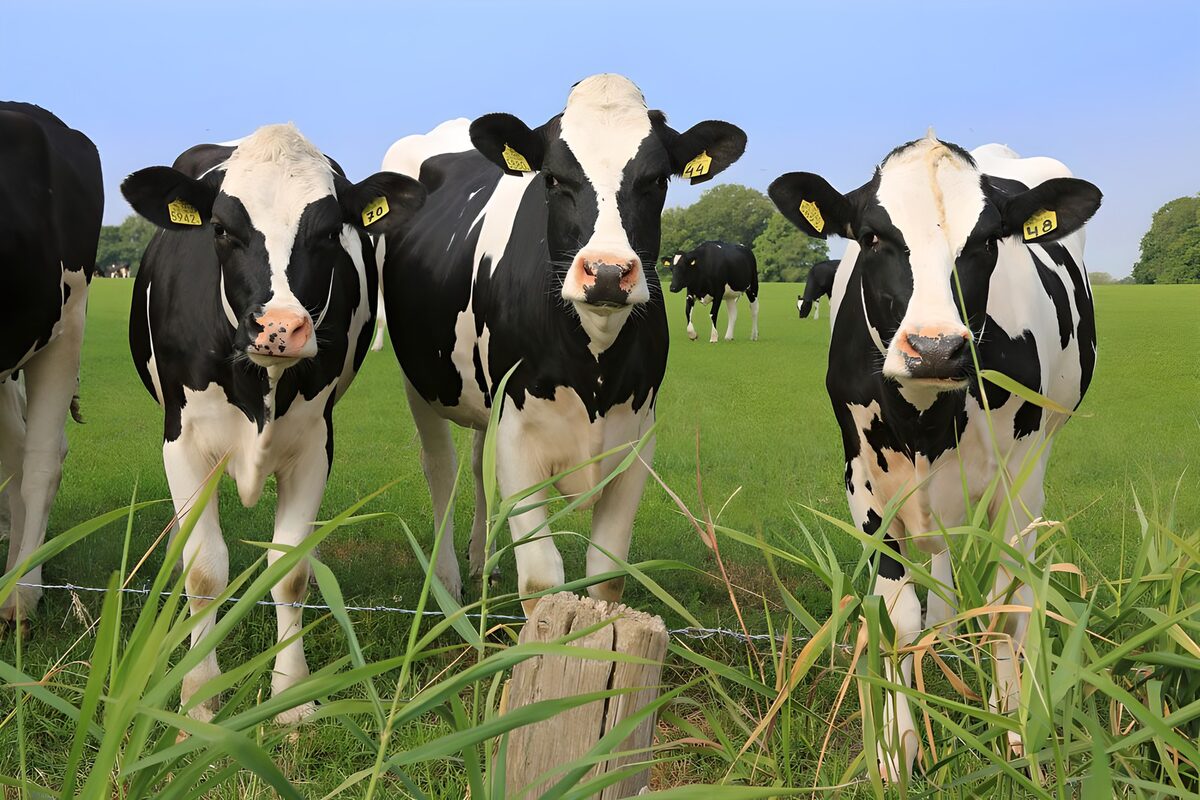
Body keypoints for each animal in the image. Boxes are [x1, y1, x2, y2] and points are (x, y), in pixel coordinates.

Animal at [120, 123, 425, 722]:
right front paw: (197, 702)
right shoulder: (183, 443)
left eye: (330, 231)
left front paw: (290, 697)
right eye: (220, 228)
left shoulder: (314, 445)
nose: (280, 327)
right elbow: (203, 570)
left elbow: (290, 569)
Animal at [379, 74, 745, 613]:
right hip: (419, 376)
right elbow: (540, 581)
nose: (608, 272)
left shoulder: (637, 440)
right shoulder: (518, 436)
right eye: (552, 178)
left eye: (658, 179)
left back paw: (481, 559)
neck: (594, 362)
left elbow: (607, 577)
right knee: (441, 468)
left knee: (477, 464)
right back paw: (446, 581)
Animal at [769, 132, 1101, 781]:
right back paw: (943, 630)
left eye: (987, 239)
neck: (924, 419)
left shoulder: (1016, 483)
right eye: (873, 236)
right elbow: (895, 618)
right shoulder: (864, 487)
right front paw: (897, 750)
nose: (936, 348)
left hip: (1040, 457)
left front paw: (1013, 730)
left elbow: (1005, 605)